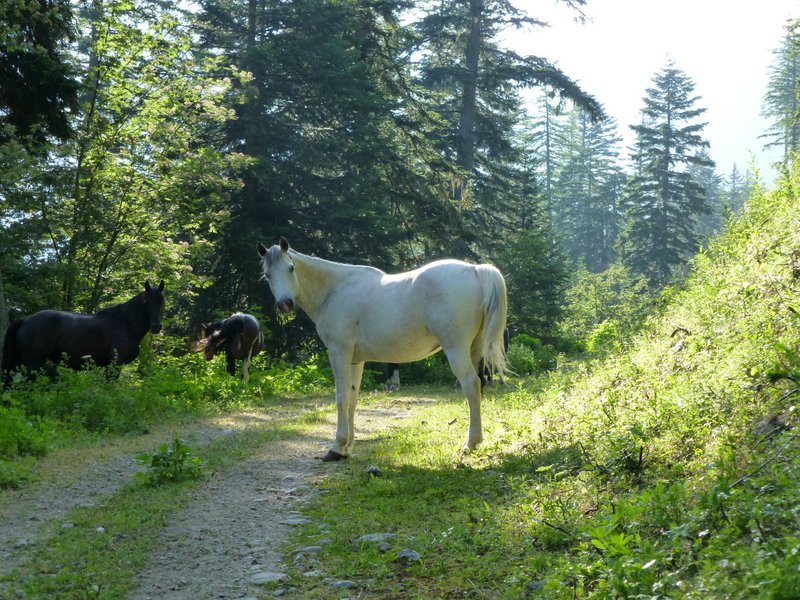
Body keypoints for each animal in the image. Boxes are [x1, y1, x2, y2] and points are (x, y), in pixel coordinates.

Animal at [258, 237, 506, 462]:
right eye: (267, 275)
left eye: (291, 268)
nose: (285, 304)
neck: (334, 290)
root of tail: (475, 269)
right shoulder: (355, 360)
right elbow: (352, 398)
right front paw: (347, 447)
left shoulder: (339, 353)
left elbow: (341, 398)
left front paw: (336, 447)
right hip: (474, 350)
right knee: (479, 384)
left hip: (455, 349)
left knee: (470, 385)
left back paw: (470, 444)